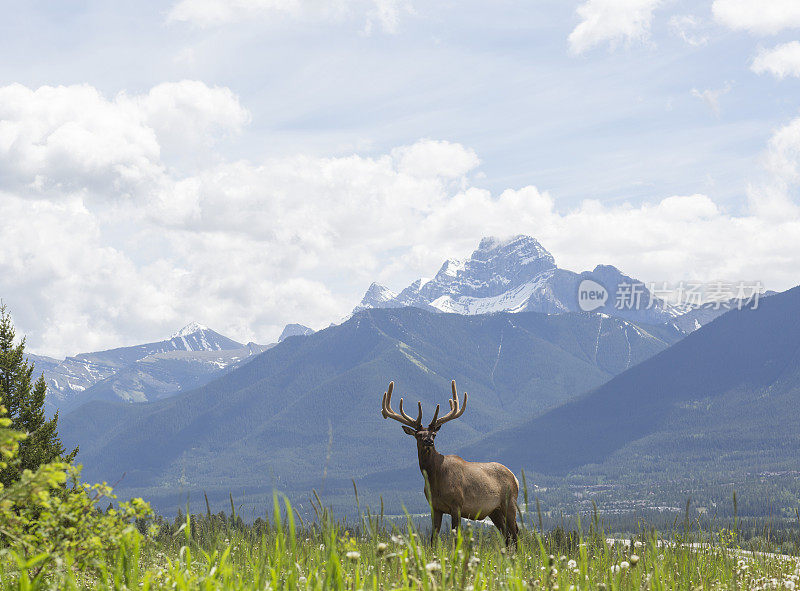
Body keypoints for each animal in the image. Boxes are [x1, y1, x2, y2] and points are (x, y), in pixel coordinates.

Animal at [382, 384, 520, 544]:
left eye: (434, 434)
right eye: (418, 435)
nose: (429, 441)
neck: (436, 480)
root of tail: (515, 478)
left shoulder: (457, 504)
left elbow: (455, 537)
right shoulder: (435, 507)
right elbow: (433, 538)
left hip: (509, 502)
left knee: (515, 532)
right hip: (494, 510)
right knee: (507, 535)